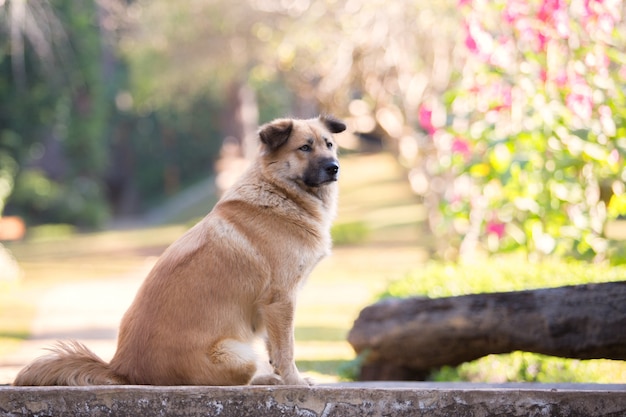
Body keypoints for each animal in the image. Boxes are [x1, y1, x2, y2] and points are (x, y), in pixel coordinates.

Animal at [13, 114, 346, 386]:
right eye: (304, 148)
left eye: (329, 144)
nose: (335, 168)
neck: (279, 191)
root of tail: (121, 370)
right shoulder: (281, 300)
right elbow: (286, 348)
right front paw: (295, 382)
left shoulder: (271, 307)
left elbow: (275, 348)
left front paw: (284, 376)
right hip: (239, 354)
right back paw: (264, 379)